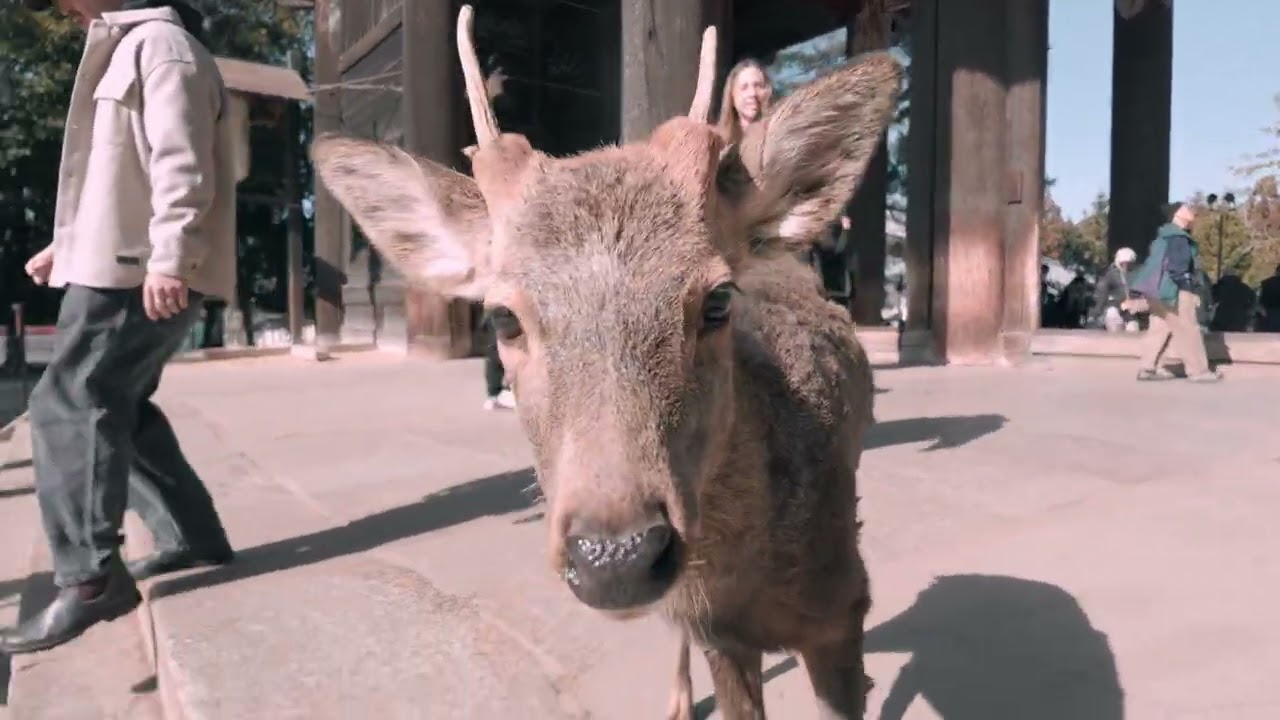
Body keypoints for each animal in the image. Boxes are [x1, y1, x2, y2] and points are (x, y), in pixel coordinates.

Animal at [310, 6, 901, 718]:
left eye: (717, 299)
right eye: (502, 316)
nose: (615, 556)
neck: (757, 585)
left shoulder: (846, 609)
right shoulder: (722, 634)